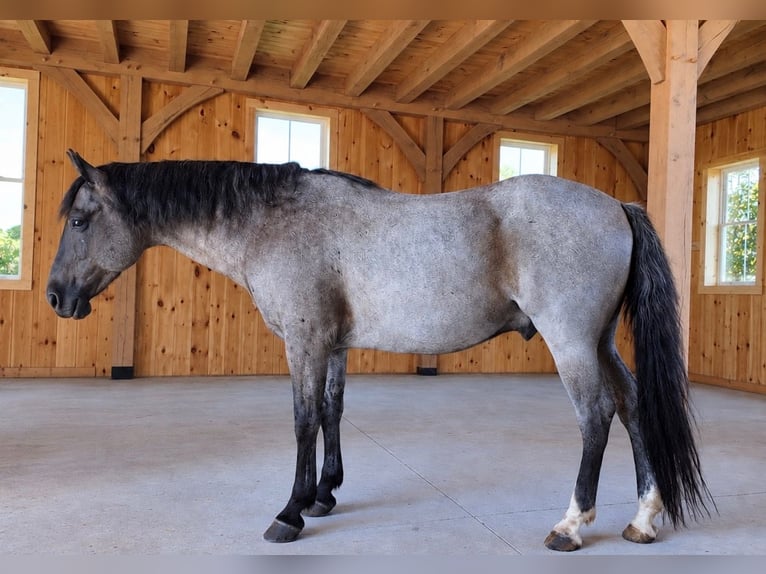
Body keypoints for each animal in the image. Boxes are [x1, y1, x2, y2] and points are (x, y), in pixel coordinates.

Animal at [47, 149, 713, 551]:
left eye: (80, 220)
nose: (56, 296)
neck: (274, 221)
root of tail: (616, 205)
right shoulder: (330, 344)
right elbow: (332, 411)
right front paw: (323, 495)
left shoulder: (305, 342)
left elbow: (303, 420)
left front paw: (289, 513)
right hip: (600, 341)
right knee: (632, 407)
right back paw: (643, 518)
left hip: (571, 340)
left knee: (595, 416)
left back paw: (572, 525)